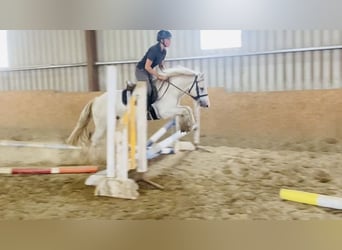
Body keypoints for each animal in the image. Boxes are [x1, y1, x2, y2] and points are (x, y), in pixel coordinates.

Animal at [65, 66, 210, 146]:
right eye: (202, 88)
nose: (206, 104)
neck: (171, 91)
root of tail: (96, 100)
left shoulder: (174, 109)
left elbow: (186, 110)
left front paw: (187, 126)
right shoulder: (165, 111)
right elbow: (186, 109)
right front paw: (191, 125)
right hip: (102, 125)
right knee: (94, 139)